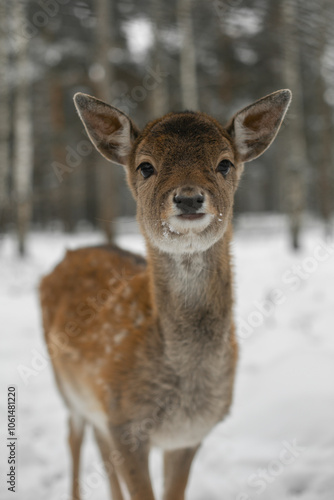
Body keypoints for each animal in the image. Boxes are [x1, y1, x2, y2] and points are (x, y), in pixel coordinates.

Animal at [40, 88, 292, 498]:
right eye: (146, 166)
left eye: (225, 163)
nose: (189, 198)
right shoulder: (126, 423)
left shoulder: (188, 435)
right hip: (67, 386)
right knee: (74, 436)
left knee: (98, 445)